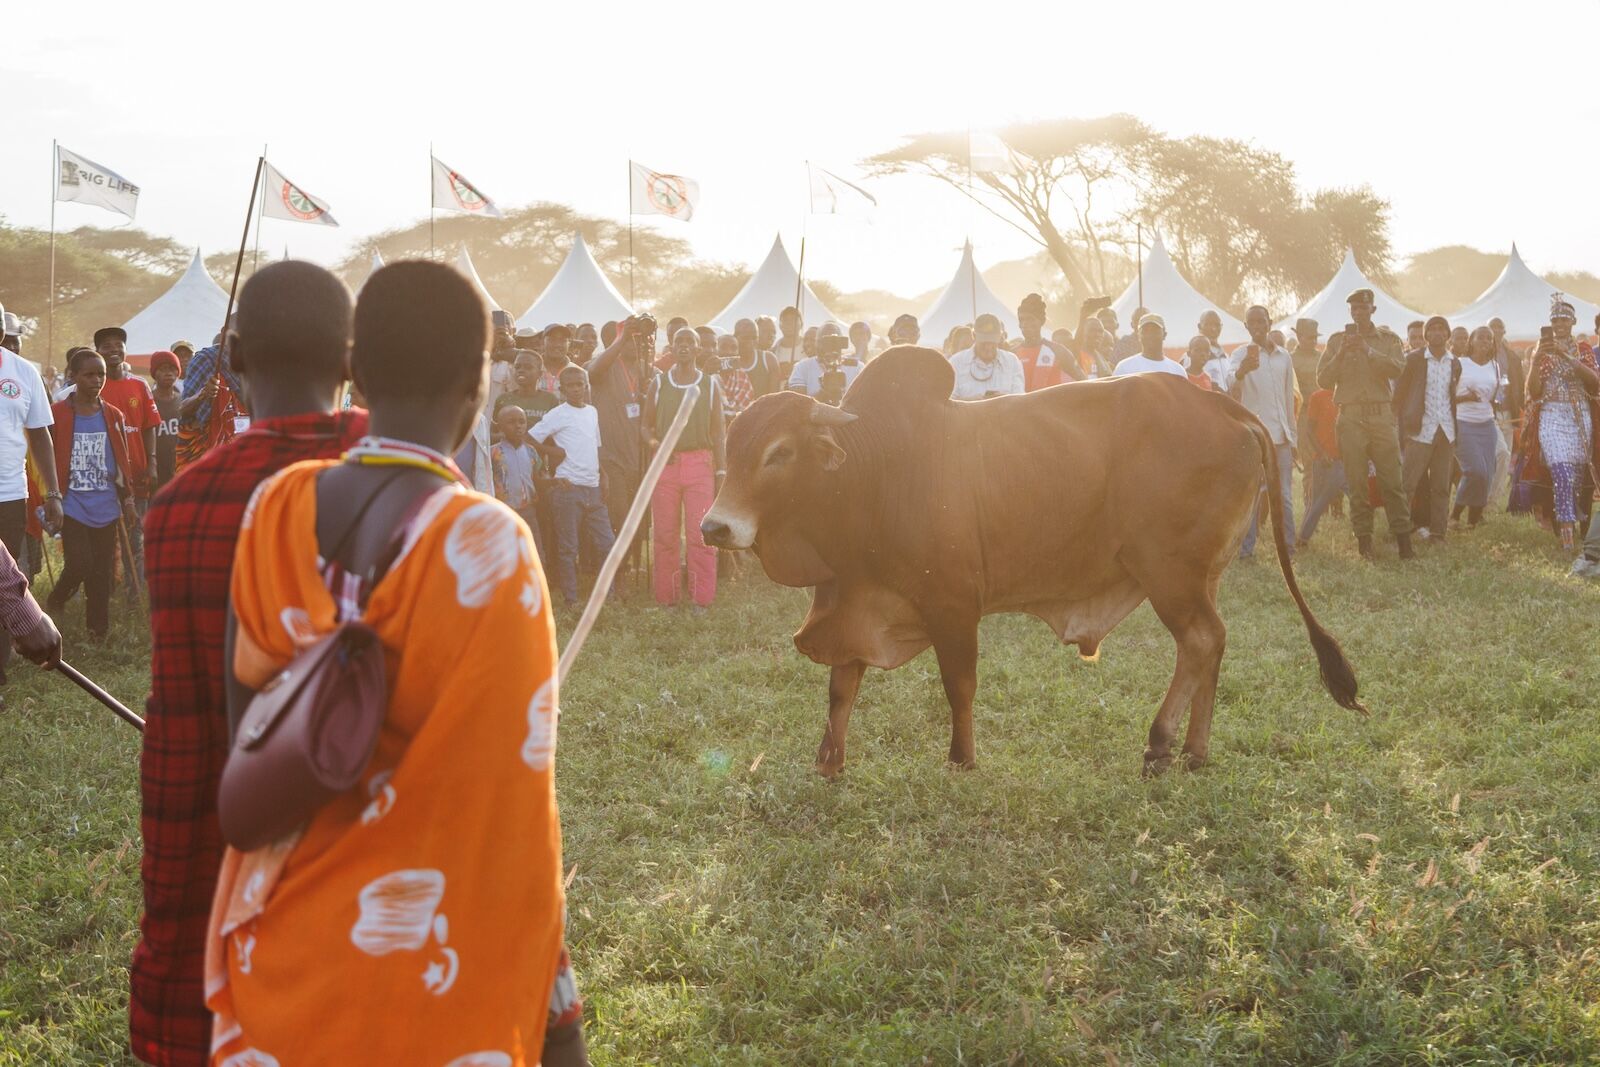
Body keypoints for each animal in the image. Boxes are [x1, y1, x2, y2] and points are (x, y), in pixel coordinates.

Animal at [700, 348, 1363, 777]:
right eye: (732, 447)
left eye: (779, 453)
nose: (714, 526)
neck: (874, 472)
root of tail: (1224, 407)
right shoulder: (853, 601)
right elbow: (842, 688)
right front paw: (829, 761)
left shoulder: (953, 603)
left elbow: (959, 685)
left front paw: (961, 760)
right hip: (1201, 575)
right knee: (1212, 645)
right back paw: (1195, 752)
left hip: (1170, 574)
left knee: (1201, 641)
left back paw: (1160, 744)